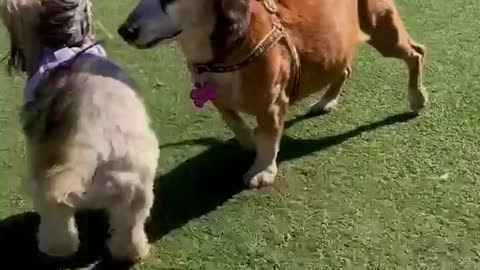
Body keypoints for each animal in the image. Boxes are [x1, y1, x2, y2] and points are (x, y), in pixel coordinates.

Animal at [118, 0, 426, 189]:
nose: (125, 31)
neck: (221, 54)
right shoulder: (219, 100)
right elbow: (236, 122)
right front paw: (248, 142)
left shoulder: (272, 104)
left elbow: (268, 138)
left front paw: (263, 170)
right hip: (338, 47)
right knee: (344, 69)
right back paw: (326, 100)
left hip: (385, 32)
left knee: (416, 53)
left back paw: (417, 97)